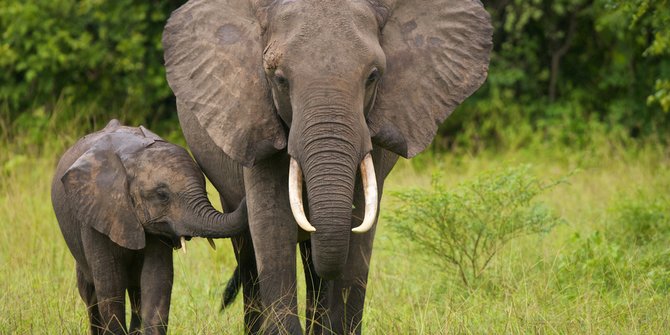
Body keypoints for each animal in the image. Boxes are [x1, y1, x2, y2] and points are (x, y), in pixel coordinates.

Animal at [51, 119, 248, 334]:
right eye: (162, 195)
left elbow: (156, 280)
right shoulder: (96, 214)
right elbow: (110, 285)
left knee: (136, 291)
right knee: (90, 292)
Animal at [163, 0, 494, 334]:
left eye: (373, 76)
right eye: (279, 79)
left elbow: (359, 228)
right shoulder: (254, 117)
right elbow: (272, 227)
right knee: (248, 253)